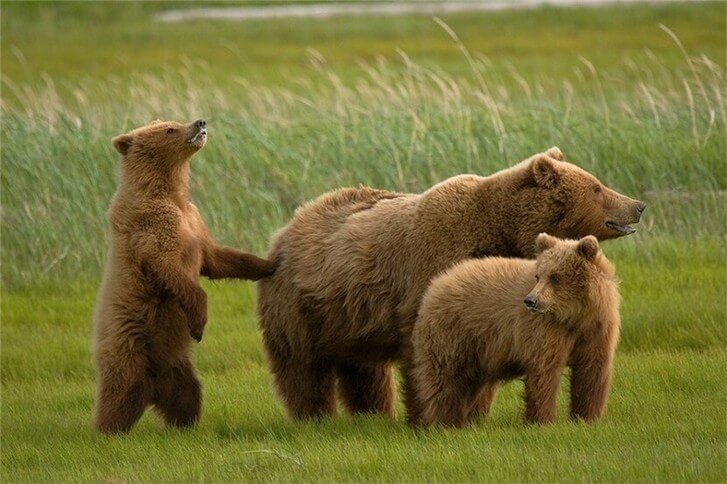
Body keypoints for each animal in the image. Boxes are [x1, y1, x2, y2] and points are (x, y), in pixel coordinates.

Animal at [95, 118, 278, 434]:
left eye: (173, 121)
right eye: (169, 129)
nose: (199, 122)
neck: (170, 192)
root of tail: (151, 389)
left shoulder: (194, 221)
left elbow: (217, 258)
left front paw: (270, 263)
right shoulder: (154, 227)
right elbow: (171, 269)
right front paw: (199, 324)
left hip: (175, 366)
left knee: (187, 393)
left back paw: (184, 425)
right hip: (129, 346)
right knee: (119, 392)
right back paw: (107, 430)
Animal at [410, 234, 620, 428]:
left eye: (555, 277)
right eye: (538, 275)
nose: (531, 300)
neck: (575, 316)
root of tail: (437, 282)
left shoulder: (597, 328)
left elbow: (591, 371)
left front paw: (587, 418)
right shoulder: (545, 330)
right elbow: (544, 371)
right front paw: (542, 421)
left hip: (480, 350)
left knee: (473, 383)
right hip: (453, 333)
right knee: (446, 378)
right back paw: (446, 422)